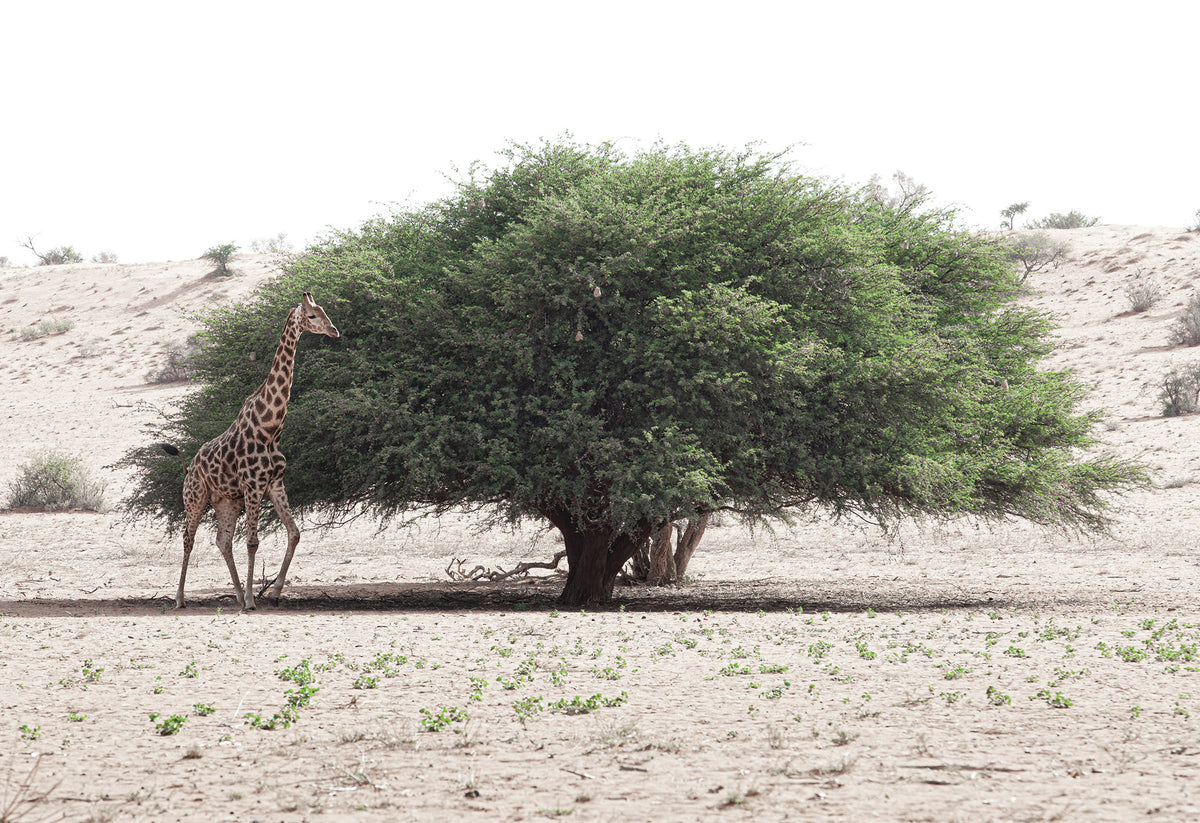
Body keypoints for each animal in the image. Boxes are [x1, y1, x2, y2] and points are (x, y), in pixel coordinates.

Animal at [161, 291, 339, 610]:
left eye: (324, 311)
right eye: (312, 315)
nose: (334, 331)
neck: (270, 427)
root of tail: (189, 466)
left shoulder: (275, 483)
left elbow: (294, 533)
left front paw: (274, 592)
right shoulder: (254, 484)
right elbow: (253, 542)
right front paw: (253, 600)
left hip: (226, 501)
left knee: (223, 541)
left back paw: (236, 595)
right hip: (195, 497)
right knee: (188, 539)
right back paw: (181, 599)